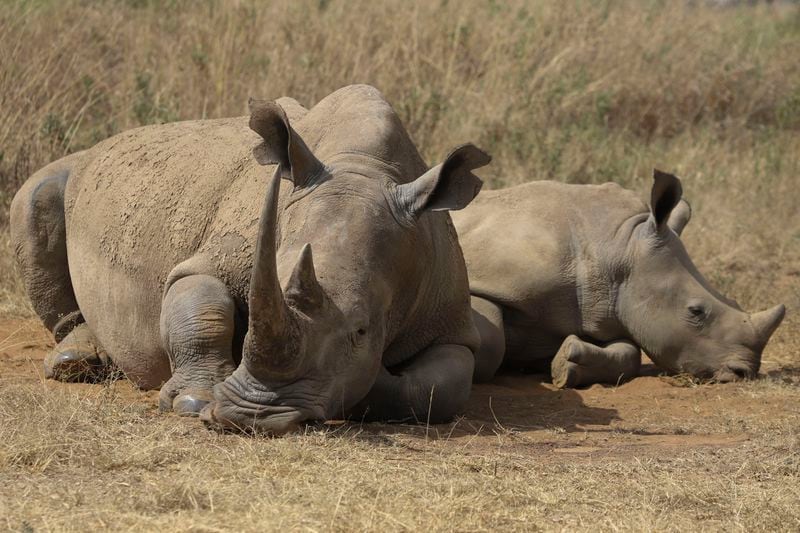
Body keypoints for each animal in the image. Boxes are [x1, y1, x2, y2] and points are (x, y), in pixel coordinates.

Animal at [10, 83, 488, 432]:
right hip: (76, 172)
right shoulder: (212, 259)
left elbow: (434, 390)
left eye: (362, 331)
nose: (251, 415)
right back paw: (75, 362)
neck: (363, 168)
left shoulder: (449, 322)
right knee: (36, 197)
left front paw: (370, 386)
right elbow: (201, 306)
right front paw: (194, 401)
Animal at [454, 172, 784, 388]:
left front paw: (567, 362)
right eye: (696, 312)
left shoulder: (600, 309)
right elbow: (492, 340)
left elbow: (629, 353)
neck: (617, 248)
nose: (744, 372)